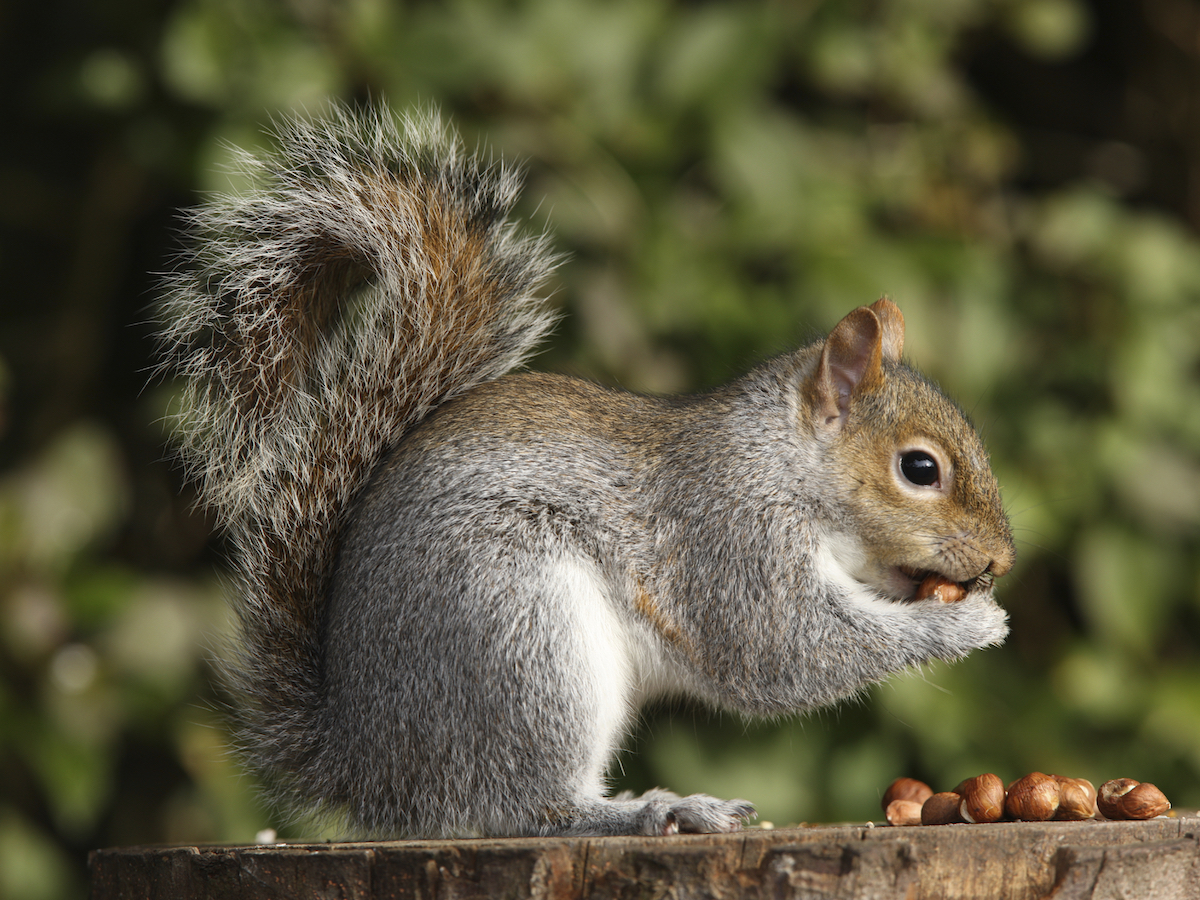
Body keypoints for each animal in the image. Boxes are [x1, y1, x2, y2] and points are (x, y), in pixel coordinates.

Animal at [157, 103, 1012, 840]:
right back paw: (656, 809)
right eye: (920, 469)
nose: (1002, 559)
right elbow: (783, 649)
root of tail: (371, 767)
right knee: (525, 807)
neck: (780, 462)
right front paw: (964, 624)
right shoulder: (730, 538)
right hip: (522, 634)